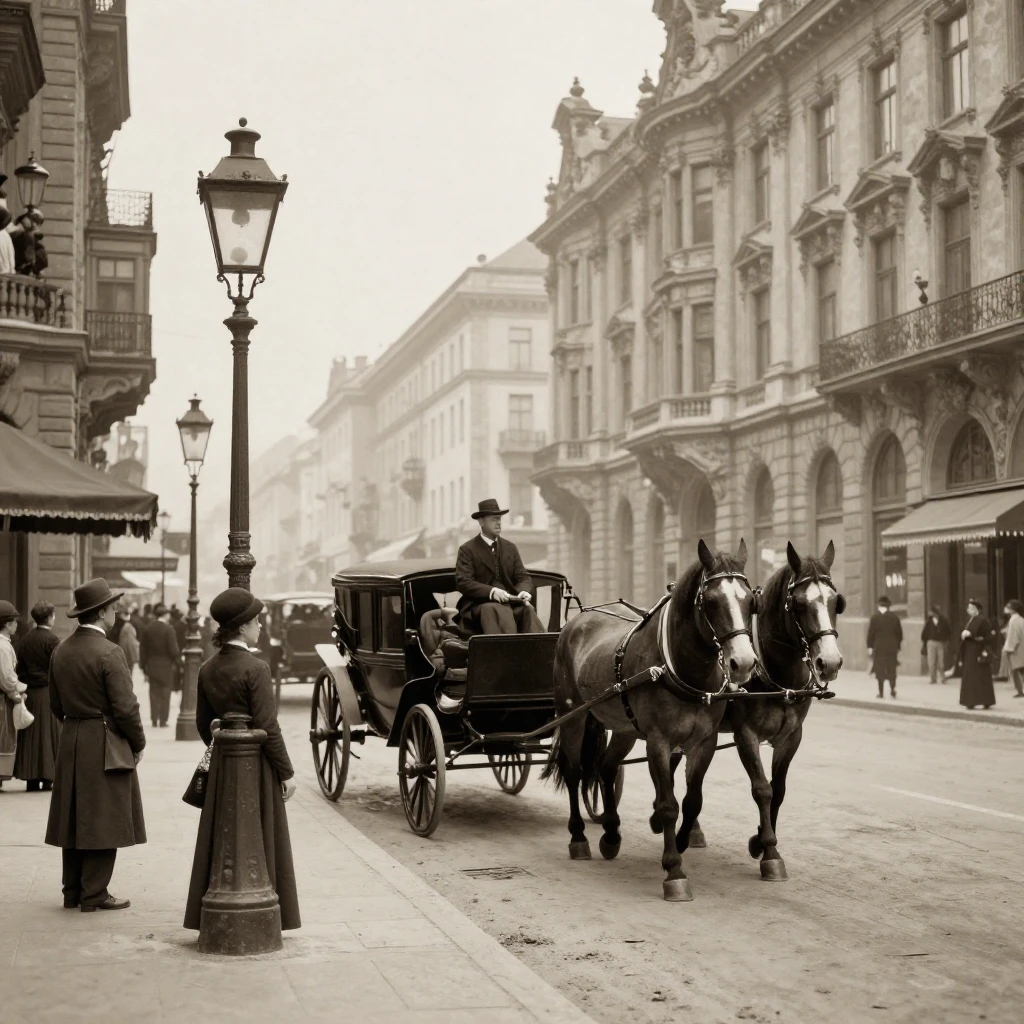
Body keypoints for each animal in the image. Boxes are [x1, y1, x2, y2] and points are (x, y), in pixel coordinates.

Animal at [542, 540, 758, 901]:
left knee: (606, 767)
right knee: (574, 772)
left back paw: (611, 834)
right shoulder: (659, 741)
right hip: (572, 713)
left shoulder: (704, 741)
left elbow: (693, 800)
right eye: (711, 601)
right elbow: (669, 804)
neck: (683, 669)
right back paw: (579, 837)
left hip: (624, 727)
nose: (742, 662)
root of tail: (579, 619)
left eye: (750, 600)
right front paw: (674, 870)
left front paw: (682, 841)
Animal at [681, 540, 845, 880]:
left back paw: (693, 831)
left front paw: (760, 838)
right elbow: (762, 789)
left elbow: (778, 790)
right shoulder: (746, 735)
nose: (830, 662)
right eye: (798, 604)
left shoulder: (792, 736)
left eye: (835, 602)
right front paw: (768, 850)